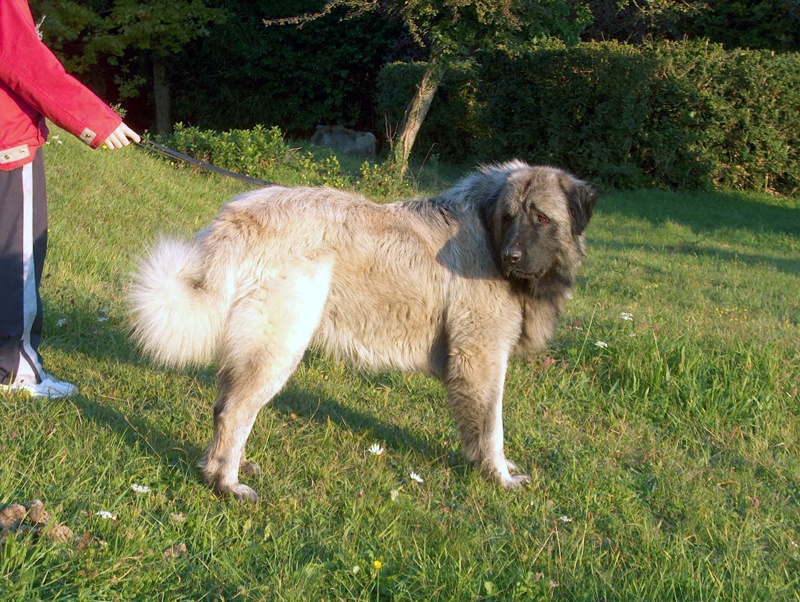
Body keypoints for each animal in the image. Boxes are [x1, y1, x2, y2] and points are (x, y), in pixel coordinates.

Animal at [130, 161, 592, 502]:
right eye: (508, 217)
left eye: (540, 218)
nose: (512, 257)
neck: (486, 230)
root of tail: (235, 217)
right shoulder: (481, 356)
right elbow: (491, 427)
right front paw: (498, 476)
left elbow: (481, 428)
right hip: (280, 346)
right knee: (234, 412)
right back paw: (226, 483)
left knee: (225, 406)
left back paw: (228, 467)